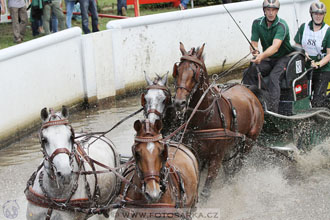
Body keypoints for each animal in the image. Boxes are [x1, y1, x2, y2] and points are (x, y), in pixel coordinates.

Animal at [173, 42, 262, 199]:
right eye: (177, 71)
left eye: (195, 73)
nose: (179, 102)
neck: (205, 118)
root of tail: (250, 92)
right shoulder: (195, 154)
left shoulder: (216, 157)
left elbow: (206, 191)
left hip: (248, 143)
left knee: (237, 166)